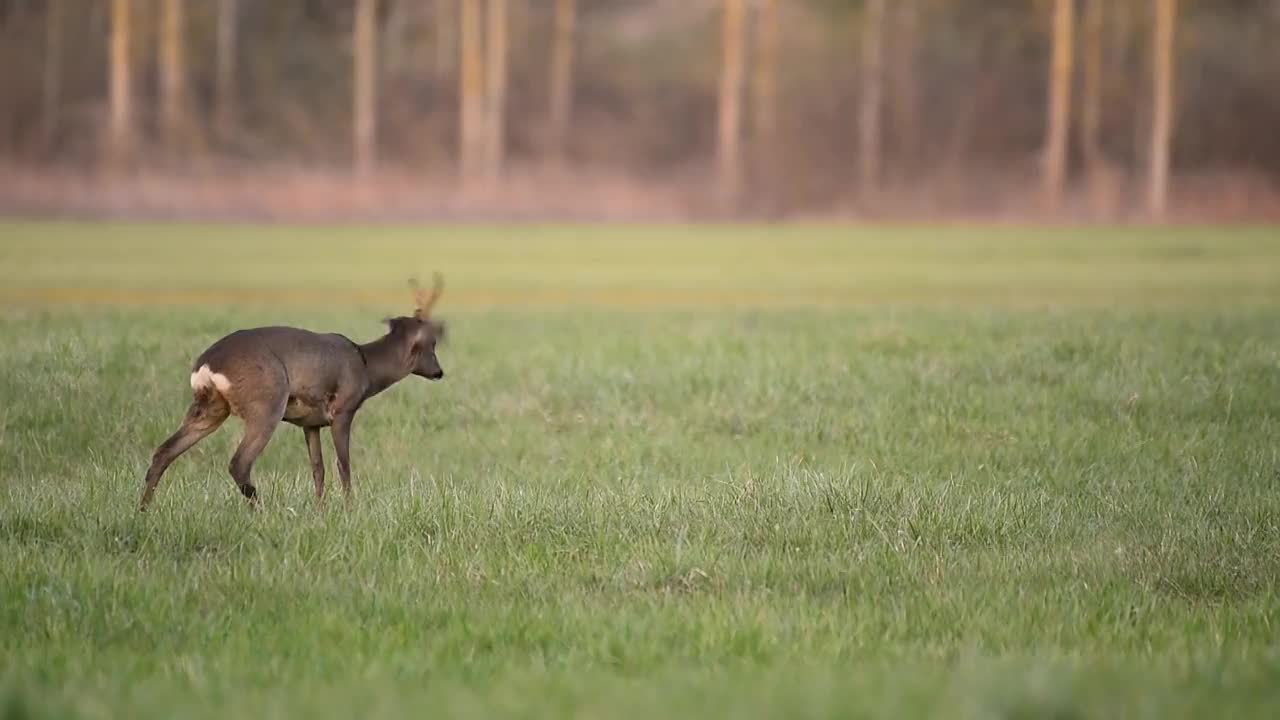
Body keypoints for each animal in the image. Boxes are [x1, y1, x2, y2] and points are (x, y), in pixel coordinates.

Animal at [139, 271, 448, 507]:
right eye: (432, 343)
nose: (439, 372)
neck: (366, 365)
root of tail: (206, 364)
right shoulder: (343, 409)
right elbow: (343, 465)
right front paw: (350, 509)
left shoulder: (310, 423)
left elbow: (318, 469)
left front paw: (321, 510)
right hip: (266, 403)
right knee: (239, 463)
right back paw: (261, 513)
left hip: (209, 407)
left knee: (163, 451)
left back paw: (144, 510)